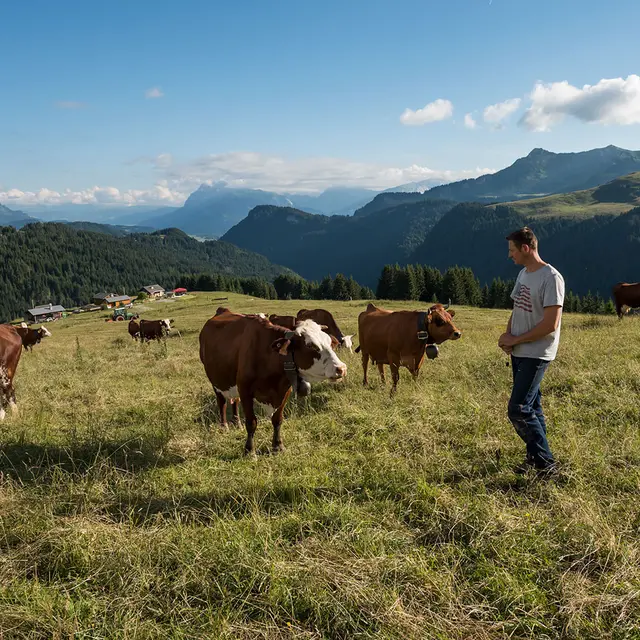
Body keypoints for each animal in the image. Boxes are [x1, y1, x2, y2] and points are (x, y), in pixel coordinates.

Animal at [202, 308, 348, 456]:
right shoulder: (245, 390)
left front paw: (278, 446)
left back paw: (237, 422)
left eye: (330, 343)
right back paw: (224, 426)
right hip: (215, 381)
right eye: (310, 345)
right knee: (222, 402)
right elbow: (251, 422)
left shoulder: (284, 391)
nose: (341, 368)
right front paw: (249, 451)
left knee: (234, 400)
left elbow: (278, 420)